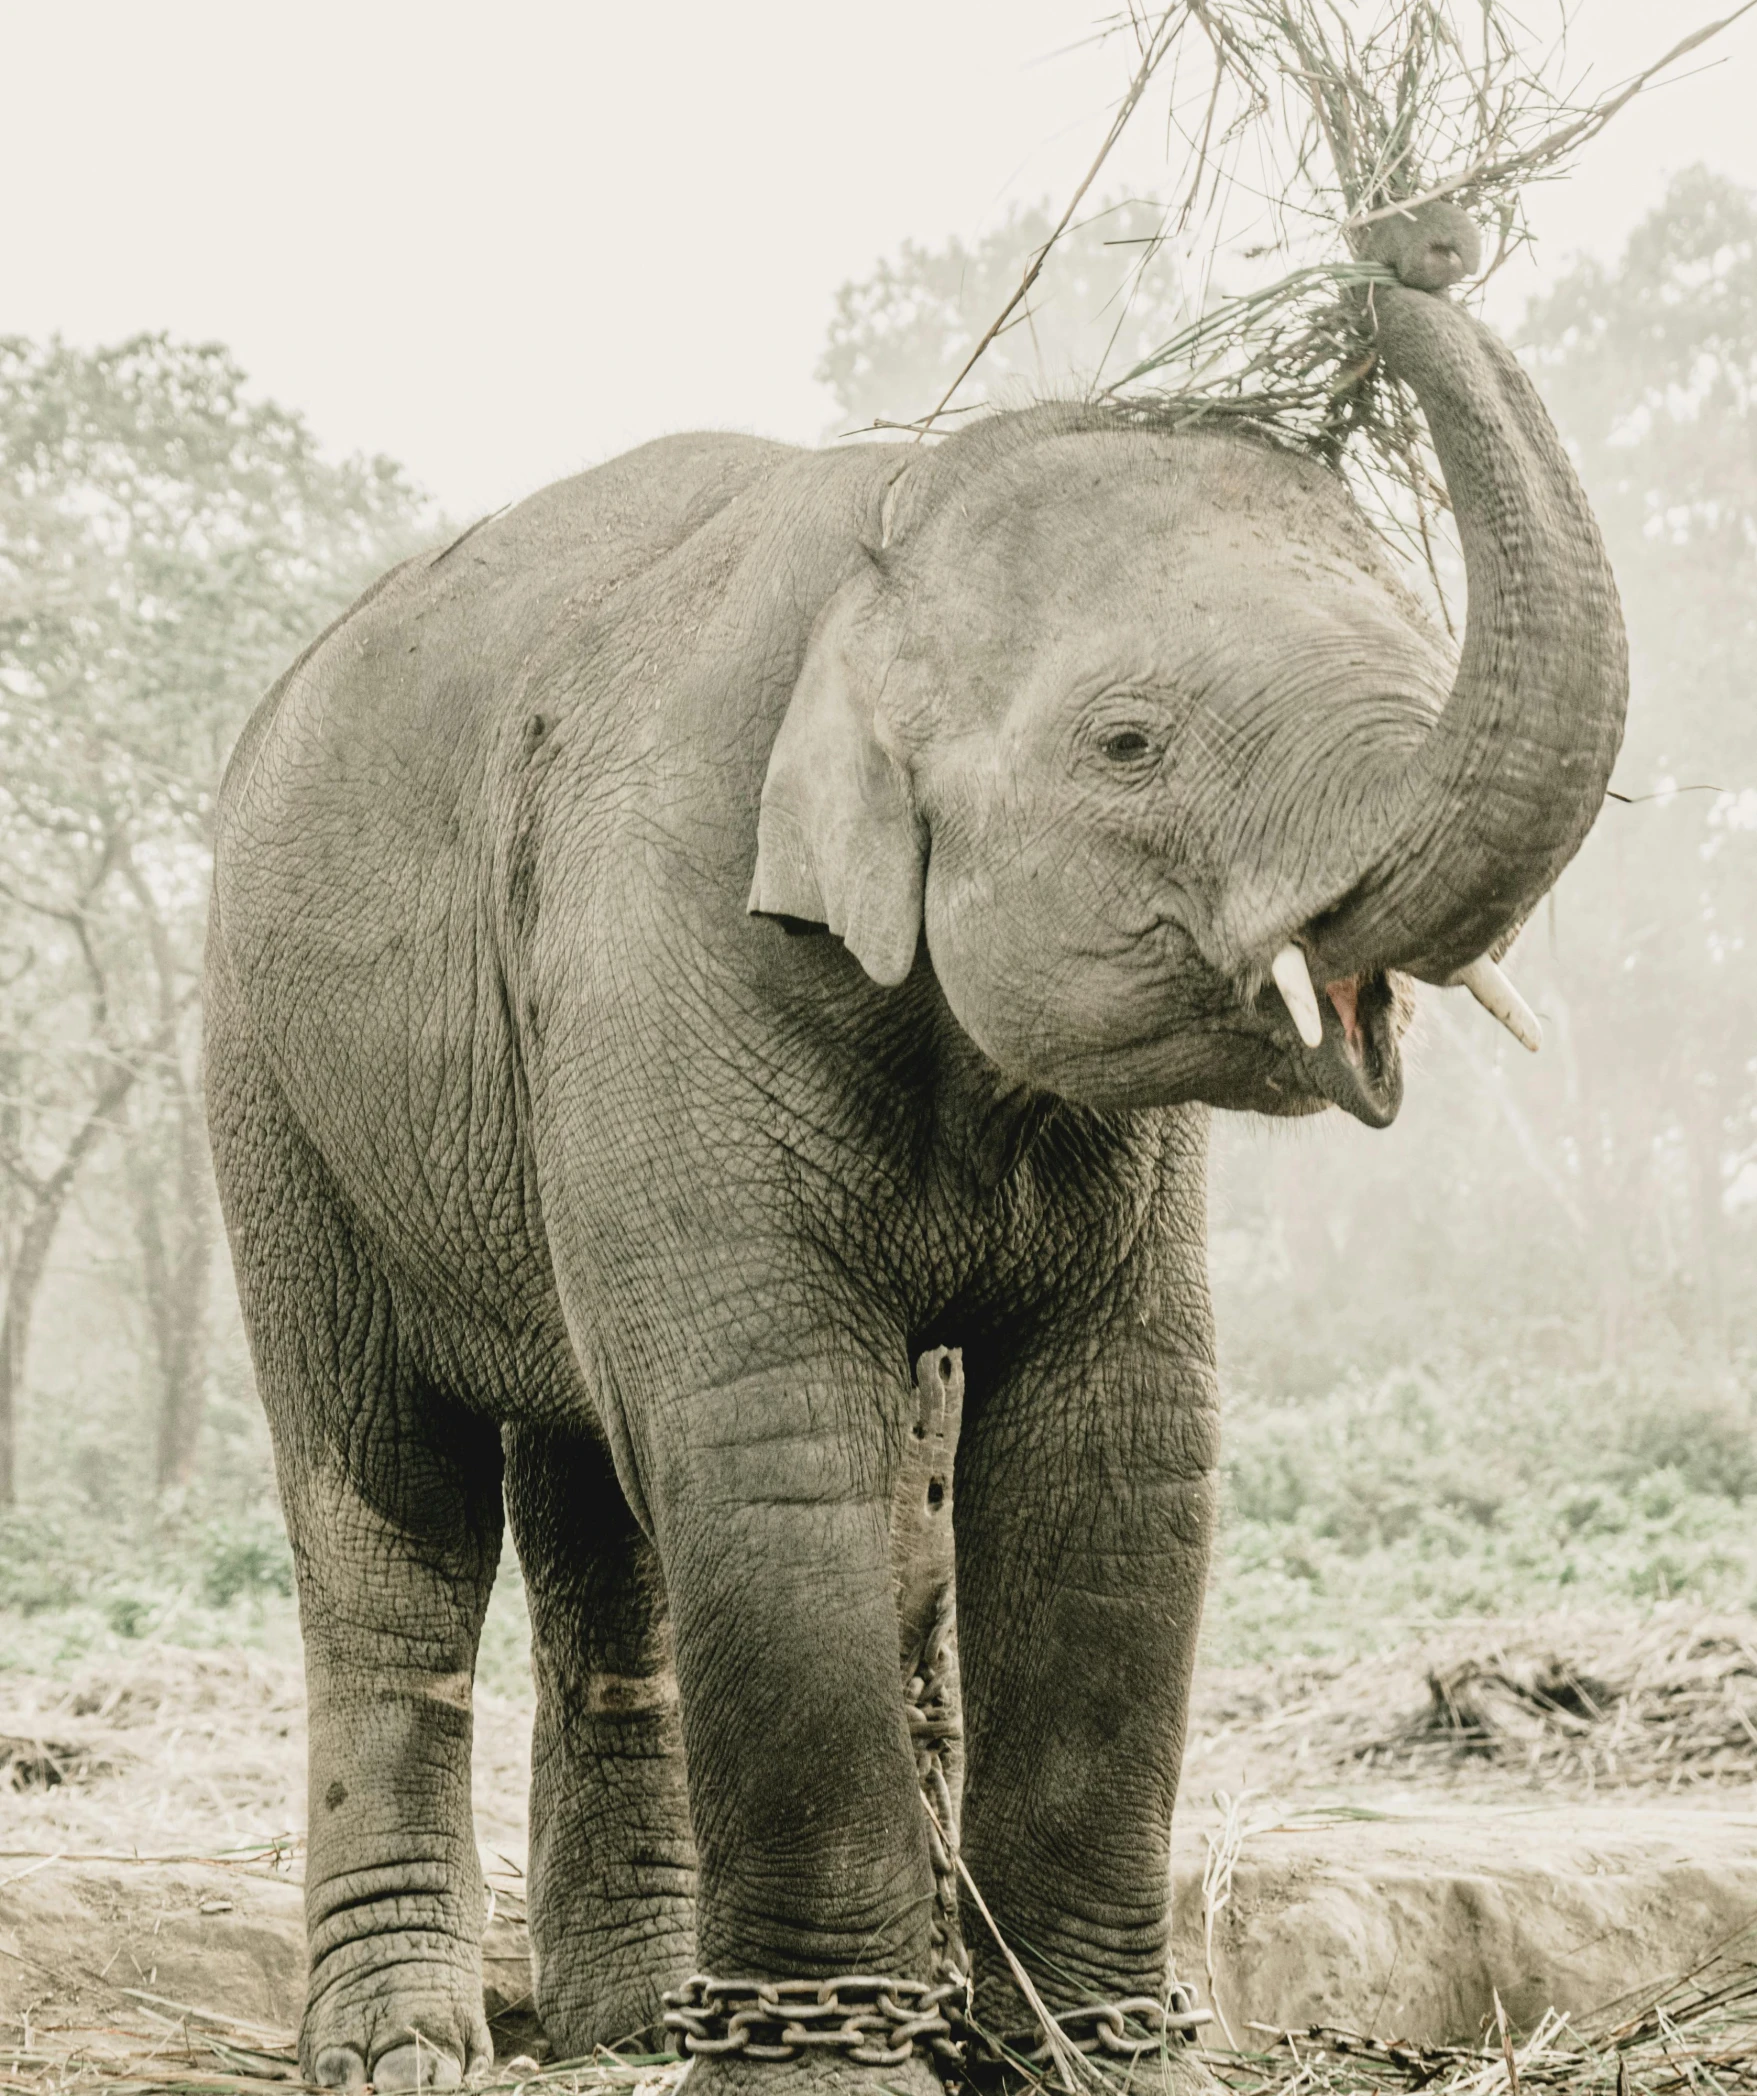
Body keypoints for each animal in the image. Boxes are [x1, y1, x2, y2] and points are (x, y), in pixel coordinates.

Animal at [203, 200, 1627, 2096]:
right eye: (1129, 742)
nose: (1416, 233)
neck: (886, 535)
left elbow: (1119, 1452)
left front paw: (1099, 2058)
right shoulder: (656, 936)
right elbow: (773, 1436)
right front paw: (832, 2069)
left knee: (607, 1529)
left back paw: (635, 2021)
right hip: (268, 1089)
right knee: (389, 1504)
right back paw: (404, 2049)